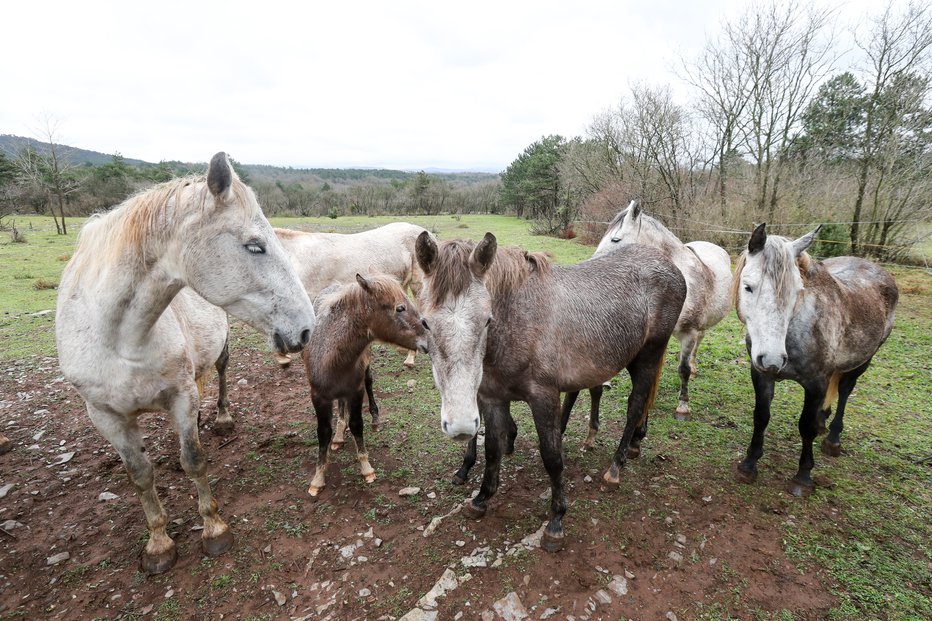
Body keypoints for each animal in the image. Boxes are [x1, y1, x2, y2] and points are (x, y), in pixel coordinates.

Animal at [55, 153, 316, 572]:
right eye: (254, 246)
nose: (307, 329)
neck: (120, 340)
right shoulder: (105, 416)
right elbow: (140, 475)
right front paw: (158, 543)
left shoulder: (180, 395)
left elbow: (194, 460)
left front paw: (213, 528)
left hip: (220, 348)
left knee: (221, 375)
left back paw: (222, 417)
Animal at [304, 274, 428, 496]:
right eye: (400, 308)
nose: (428, 339)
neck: (331, 356)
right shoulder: (318, 396)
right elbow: (323, 432)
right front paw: (317, 479)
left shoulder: (356, 391)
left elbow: (356, 424)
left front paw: (366, 468)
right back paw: (338, 436)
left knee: (369, 384)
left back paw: (374, 420)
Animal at [732, 223, 900, 494]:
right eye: (748, 287)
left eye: (797, 292)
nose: (772, 359)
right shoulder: (761, 374)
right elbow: (761, 416)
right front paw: (749, 465)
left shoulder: (816, 384)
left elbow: (806, 427)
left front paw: (803, 476)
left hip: (863, 361)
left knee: (845, 391)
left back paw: (832, 439)